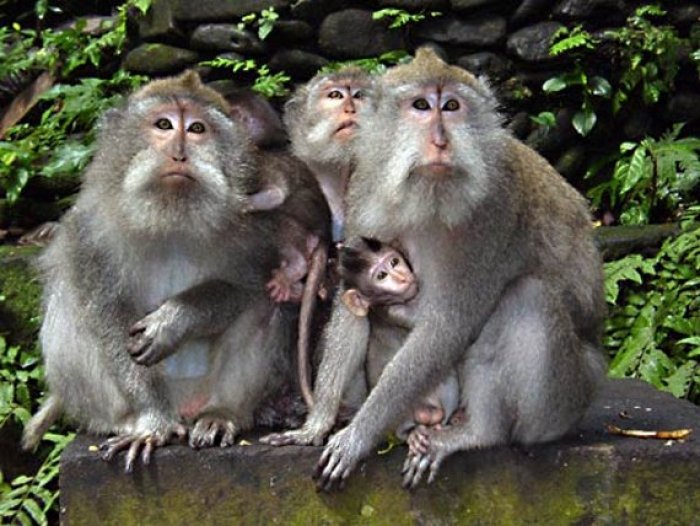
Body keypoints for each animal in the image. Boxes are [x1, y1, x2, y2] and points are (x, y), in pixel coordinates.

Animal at [21, 71, 319, 471]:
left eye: (196, 128)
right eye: (163, 125)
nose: (179, 153)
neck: (171, 215)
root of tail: (185, 408)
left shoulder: (259, 228)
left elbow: (244, 286)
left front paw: (173, 322)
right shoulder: (87, 232)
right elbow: (107, 314)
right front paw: (152, 423)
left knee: (264, 305)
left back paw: (222, 413)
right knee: (72, 309)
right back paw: (129, 420)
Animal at [264, 48, 607, 491]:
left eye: (452, 106)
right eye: (421, 106)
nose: (441, 141)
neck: (424, 192)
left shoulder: (495, 208)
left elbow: (447, 325)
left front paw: (357, 436)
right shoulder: (365, 184)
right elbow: (351, 305)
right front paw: (317, 422)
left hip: (566, 401)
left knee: (528, 297)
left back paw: (477, 433)